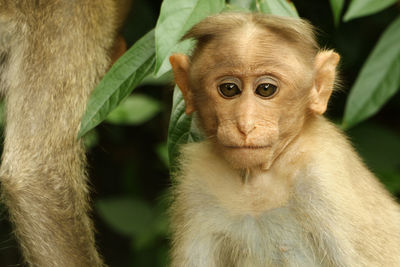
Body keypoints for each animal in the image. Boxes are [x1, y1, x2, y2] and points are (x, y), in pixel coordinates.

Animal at [169, 13, 400, 267]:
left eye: (265, 89)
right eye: (229, 89)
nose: (245, 125)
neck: (257, 179)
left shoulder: (325, 176)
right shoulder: (197, 182)